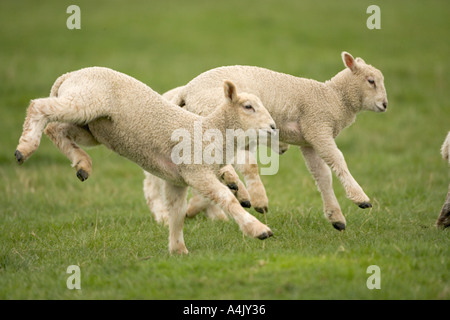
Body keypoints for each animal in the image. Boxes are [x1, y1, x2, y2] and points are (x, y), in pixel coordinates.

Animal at [14, 66, 274, 254]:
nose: (273, 127)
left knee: (56, 130)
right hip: (86, 101)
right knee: (39, 107)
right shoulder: (195, 170)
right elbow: (225, 198)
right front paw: (258, 229)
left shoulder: (177, 180)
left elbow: (177, 212)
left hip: (91, 127)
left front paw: (178, 250)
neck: (211, 130)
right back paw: (24, 149)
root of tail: (70, 75)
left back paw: (82, 164)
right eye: (248, 107)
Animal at [144, 51, 386, 230]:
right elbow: (338, 160)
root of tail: (186, 90)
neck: (334, 97)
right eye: (371, 81)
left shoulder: (308, 141)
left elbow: (322, 176)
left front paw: (336, 217)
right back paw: (247, 193)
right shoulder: (317, 126)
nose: (385, 105)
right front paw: (360, 198)